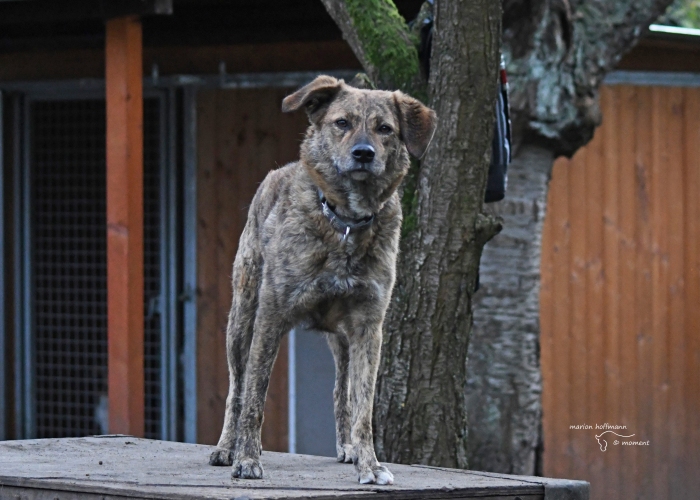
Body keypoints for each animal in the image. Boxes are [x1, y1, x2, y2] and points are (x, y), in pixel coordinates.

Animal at [209, 75, 438, 484]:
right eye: (341, 123)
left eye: (385, 129)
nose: (364, 153)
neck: (344, 221)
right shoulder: (270, 317)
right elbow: (254, 397)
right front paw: (247, 458)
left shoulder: (368, 327)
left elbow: (362, 406)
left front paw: (369, 464)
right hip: (242, 319)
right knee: (236, 386)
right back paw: (225, 448)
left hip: (342, 341)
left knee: (340, 391)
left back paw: (347, 447)